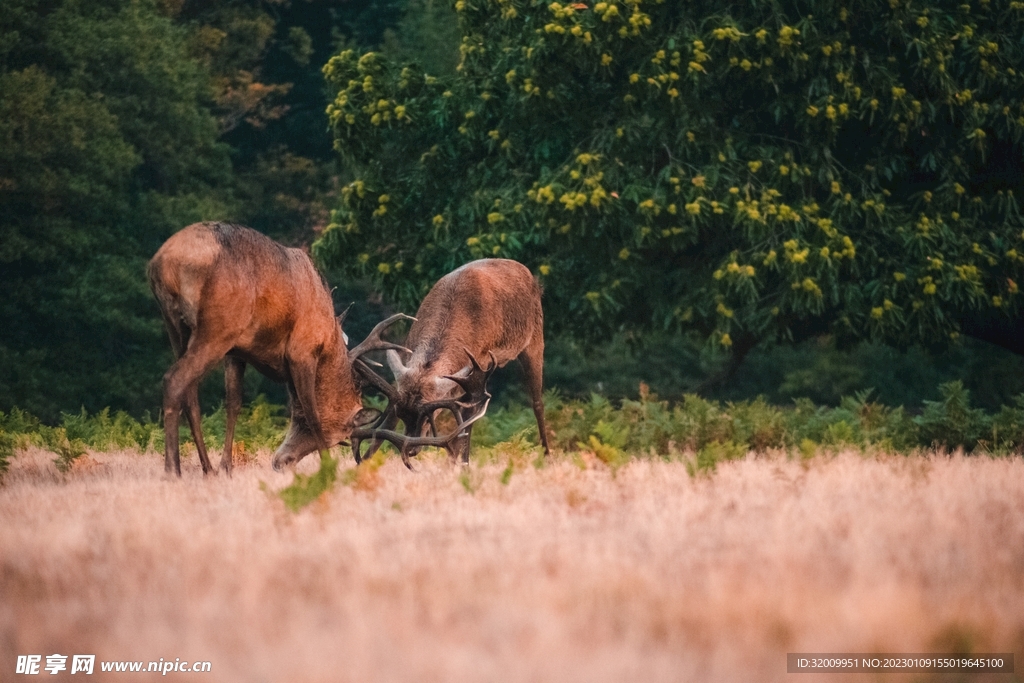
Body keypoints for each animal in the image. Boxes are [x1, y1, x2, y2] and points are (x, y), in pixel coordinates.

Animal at [147, 221, 410, 476]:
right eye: (340, 439)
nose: (283, 461)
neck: (328, 340)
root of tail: (162, 264)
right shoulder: (301, 351)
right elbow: (313, 412)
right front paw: (328, 467)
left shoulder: (237, 352)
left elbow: (234, 403)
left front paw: (226, 468)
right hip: (218, 328)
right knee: (174, 380)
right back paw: (172, 470)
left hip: (176, 326)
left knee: (190, 394)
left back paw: (208, 469)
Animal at [352, 258, 550, 467]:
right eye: (402, 415)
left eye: (428, 418)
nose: (412, 450)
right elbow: (388, 420)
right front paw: (364, 462)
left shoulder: (479, 365)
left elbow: (468, 420)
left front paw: (461, 465)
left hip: (535, 338)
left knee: (537, 402)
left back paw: (547, 456)